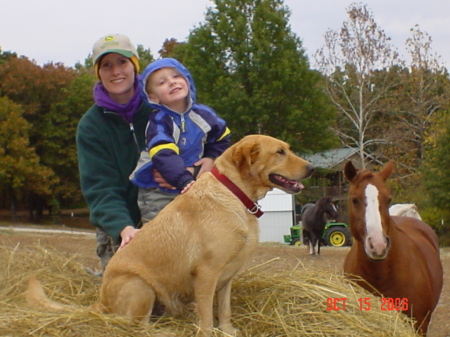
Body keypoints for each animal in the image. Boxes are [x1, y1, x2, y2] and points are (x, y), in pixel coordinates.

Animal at [28, 135, 314, 336]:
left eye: (287, 148)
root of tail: (101, 302)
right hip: (140, 286)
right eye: (279, 152)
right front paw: (209, 332)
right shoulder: (206, 273)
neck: (234, 193)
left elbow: (224, 310)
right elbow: (206, 317)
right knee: (136, 327)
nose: (312, 168)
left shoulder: (227, 277)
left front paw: (228, 331)